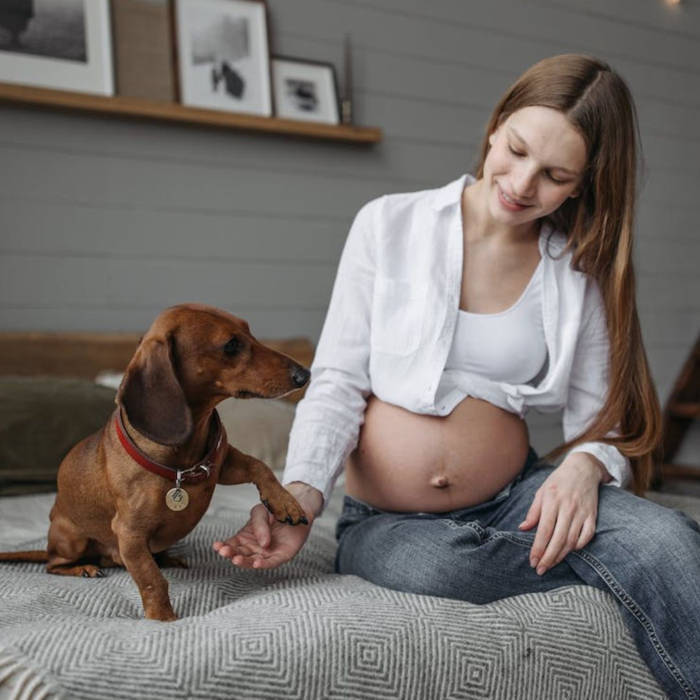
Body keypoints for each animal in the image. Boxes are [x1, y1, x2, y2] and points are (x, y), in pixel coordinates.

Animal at [0, 304, 312, 620]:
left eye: (249, 331)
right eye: (231, 345)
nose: (305, 374)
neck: (182, 459)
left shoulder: (221, 465)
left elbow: (258, 466)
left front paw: (285, 502)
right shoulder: (130, 535)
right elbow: (152, 581)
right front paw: (164, 619)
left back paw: (167, 557)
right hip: (71, 539)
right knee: (53, 564)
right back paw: (83, 568)